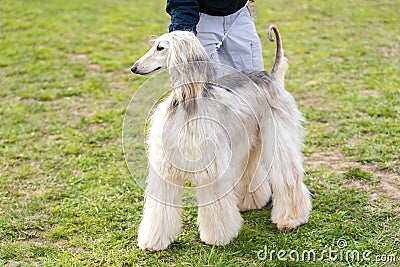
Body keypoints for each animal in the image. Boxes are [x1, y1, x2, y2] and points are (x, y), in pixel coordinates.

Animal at [131, 26, 312, 252]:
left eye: (160, 48)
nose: (134, 68)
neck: (187, 103)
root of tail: (268, 76)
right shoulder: (166, 167)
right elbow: (160, 207)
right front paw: (153, 241)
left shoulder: (211, 166)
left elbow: (215, 205)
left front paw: (217, 237)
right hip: (247, 139)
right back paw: (249, 202)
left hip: (277, 136)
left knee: (289, 175)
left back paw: (291, 218)